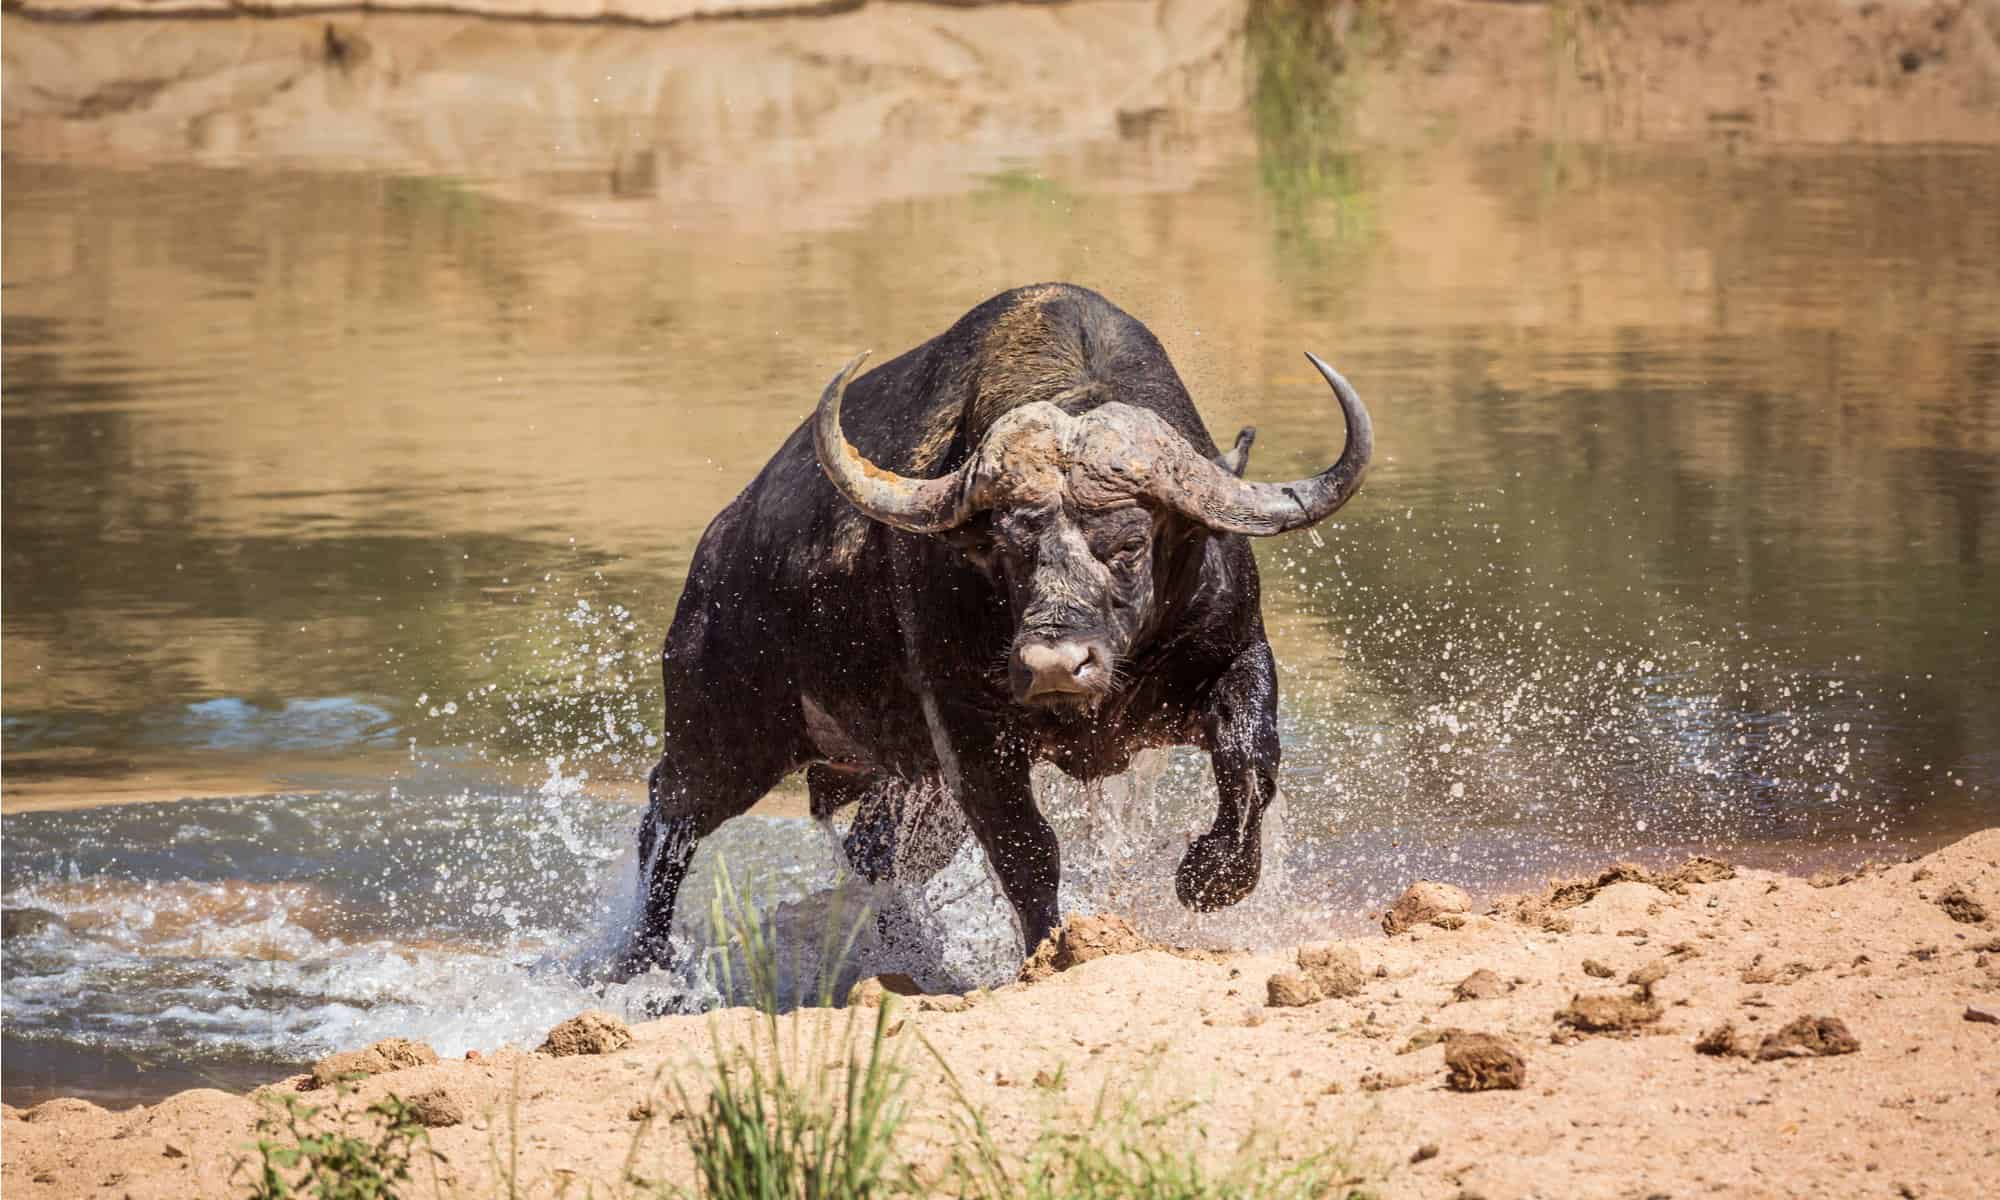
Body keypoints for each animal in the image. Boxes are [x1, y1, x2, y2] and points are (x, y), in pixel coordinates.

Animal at [624, 282, 1371, 971]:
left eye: (1130, 543)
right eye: (1007, 549)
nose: (1054, 666)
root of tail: (719, 546)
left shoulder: (1235, 655)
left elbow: (1250, 763)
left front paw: (1212, 878)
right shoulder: (968, 729)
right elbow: (1025, 849)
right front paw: (1051, 950)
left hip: (897, 778)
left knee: (875, 852)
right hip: (725, 734)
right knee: (669, 818)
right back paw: (644, 965)